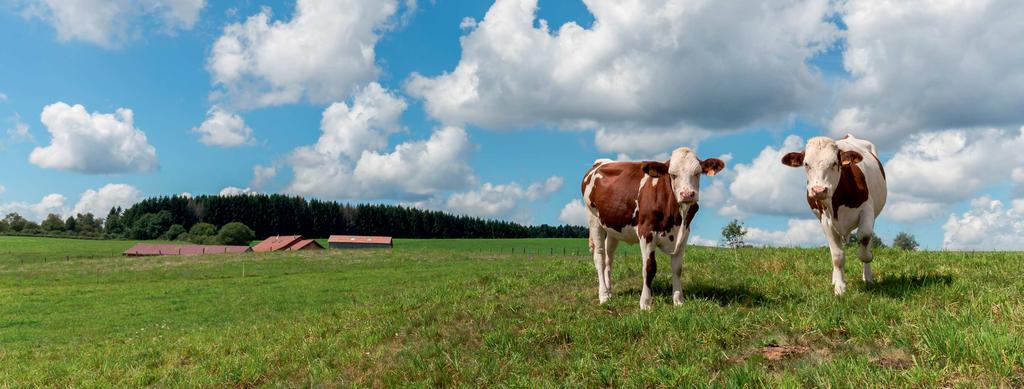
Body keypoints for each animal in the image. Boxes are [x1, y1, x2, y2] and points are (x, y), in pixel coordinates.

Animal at [581, 148, 724, 309]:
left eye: (698, 173)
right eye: (672, 174)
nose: (687, 194)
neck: (676, 218)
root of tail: (601, 162)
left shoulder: (684, 234)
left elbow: (677, 268)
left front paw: (678, 300)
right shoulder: (646, 232)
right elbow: (649, 268)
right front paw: (645, 303)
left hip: (613, 226)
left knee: (608, 258)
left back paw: (610, 292)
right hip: (593, 219)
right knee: (599, 256)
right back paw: (604, 296)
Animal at [778, 134, 884, 294]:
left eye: (834, 163)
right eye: (806, 164)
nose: (819, 190)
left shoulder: (867, 210)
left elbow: (865, 237)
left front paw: (867, 257)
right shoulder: (825, 220)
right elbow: (837, 256)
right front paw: (839, 287)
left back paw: (868, 277)